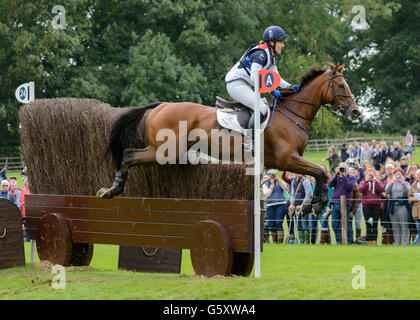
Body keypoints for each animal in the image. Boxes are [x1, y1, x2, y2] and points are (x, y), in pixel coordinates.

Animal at [97, 61, 360, 214]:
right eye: (341, 86)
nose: (356, 111)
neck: (291, 114)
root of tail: (161, 105)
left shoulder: (285, 161)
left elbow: (317, 172)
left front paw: (311, 203)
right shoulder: (287, 159)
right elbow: (321, 170)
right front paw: (314, 204)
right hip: (164, 151)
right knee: (129, 155)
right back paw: (113, 189)